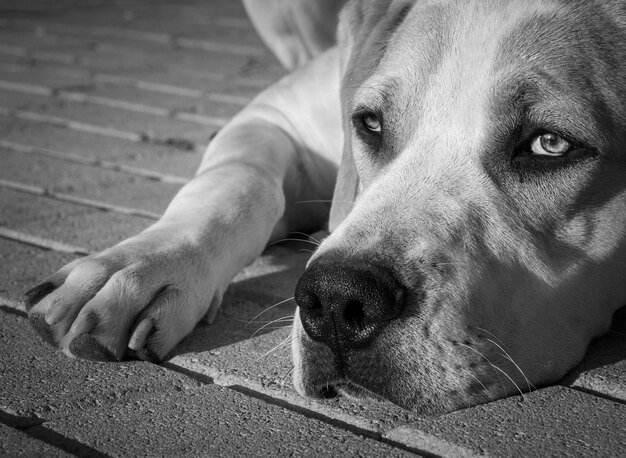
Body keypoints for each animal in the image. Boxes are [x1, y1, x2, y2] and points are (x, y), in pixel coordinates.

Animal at [22, 0, 624, 416]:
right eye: (370, 123)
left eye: (551, 144)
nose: (336, 300)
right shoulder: (277, 115)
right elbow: (237, 182)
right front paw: (134, 268)